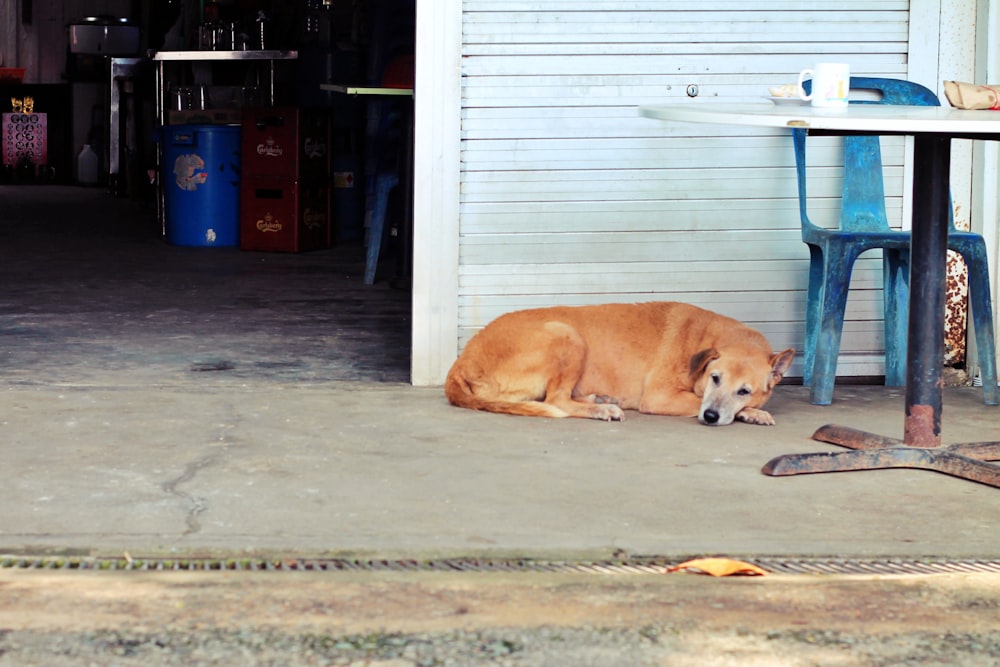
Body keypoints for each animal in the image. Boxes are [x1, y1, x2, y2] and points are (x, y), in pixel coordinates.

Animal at [446, 304, 796, 428]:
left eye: (744, 390)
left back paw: (596, 399)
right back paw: (600, 409)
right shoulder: (660, 397)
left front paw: (753, 412)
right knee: (556, 400)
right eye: (715, 378)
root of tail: (461, 361)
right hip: (566, 334)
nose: (710, 418)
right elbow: (696, 401)